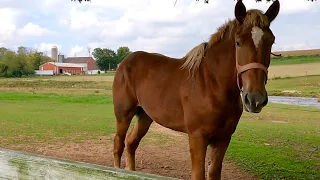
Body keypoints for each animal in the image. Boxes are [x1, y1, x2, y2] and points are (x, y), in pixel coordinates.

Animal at [112, 0, 280, 179]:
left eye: (271, 41)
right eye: (238, 42)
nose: (255, 99)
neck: (212, 86)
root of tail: (124, 62)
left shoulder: (223, 138)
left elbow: (213, 172)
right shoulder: (197, 137)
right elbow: (198, 173)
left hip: (145, 116)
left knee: (131, 143)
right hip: (124, 115)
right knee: (118, 144)